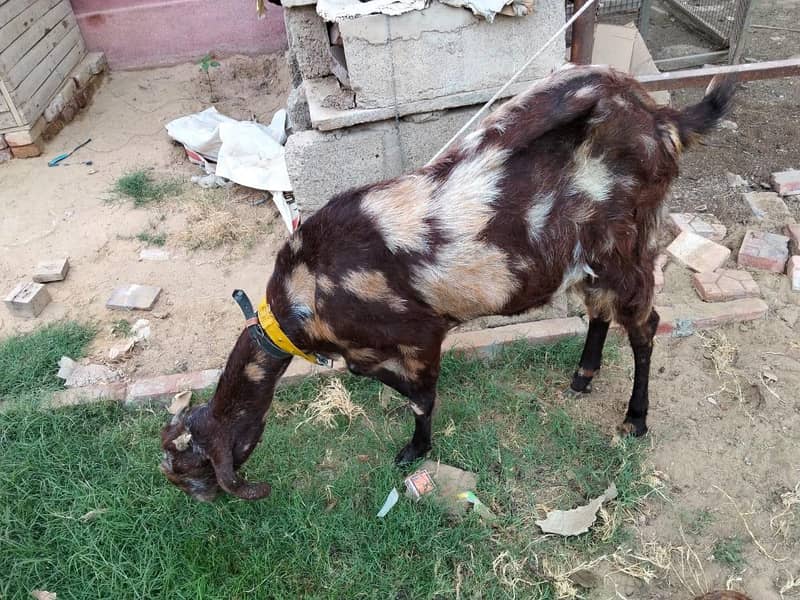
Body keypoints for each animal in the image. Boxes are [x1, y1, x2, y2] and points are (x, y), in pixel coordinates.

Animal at [161, 64, 736, 501]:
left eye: (194, 472)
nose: (202, 504)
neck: (306, 293)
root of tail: (664, 119)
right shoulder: (369, 349)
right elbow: (370, 375)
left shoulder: (420, 334)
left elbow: (420, 396)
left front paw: (414, 451)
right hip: (589, 260)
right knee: (598, 310)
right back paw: (582, 376)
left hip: (629, 247)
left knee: (645, 326)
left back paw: (636, 419)